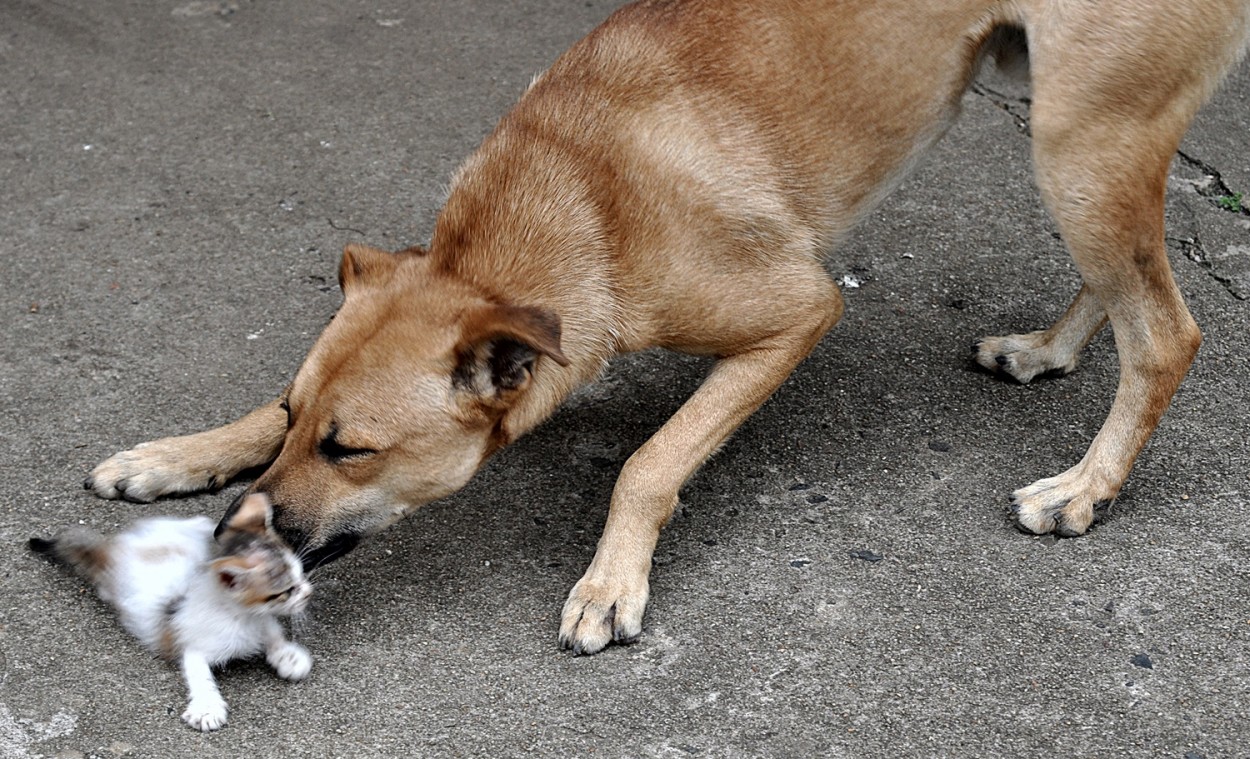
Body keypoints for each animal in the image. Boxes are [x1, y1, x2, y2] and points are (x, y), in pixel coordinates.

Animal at [29, 492, 315, 730]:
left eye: (300, 574)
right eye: (287, 590)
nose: (308, 592)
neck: (242, 616)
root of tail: (111, 546)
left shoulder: (261, 620)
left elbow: (272, 634)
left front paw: (288, 657)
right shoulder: (191, 644)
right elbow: (199, 674)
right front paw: (207, 708)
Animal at [85, 0, 1250, 655]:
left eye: (351, 450)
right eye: (296, 423)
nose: (231, 542)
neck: (578, 197)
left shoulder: (797, 311)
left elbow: (648, 463)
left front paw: (611, 582)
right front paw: (175, 453)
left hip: (1078, 141)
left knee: (1166, 332)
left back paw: (1084, 486)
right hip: (1067, 136)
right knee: (1121, 283)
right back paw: (1047, 350)